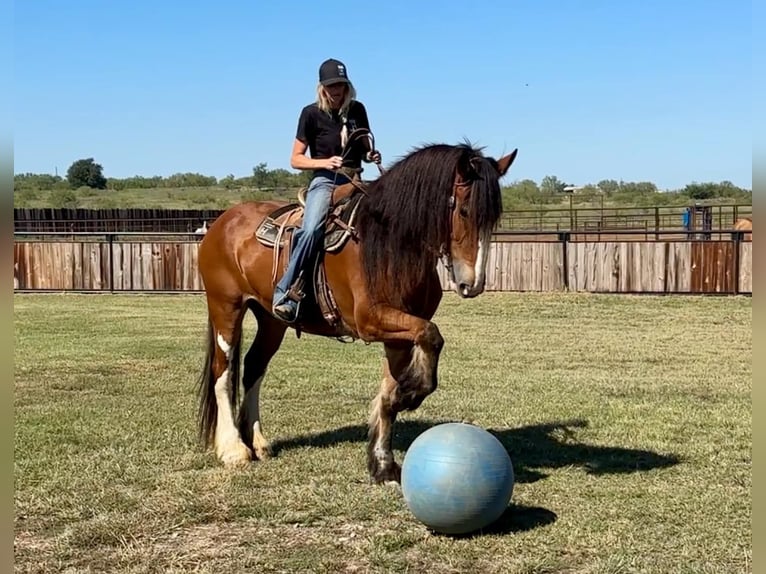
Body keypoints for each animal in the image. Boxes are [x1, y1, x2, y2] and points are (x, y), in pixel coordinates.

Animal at [195, 134, 518, 484]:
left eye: (494, 218)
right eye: (464, 210)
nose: (474, 283)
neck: (388, 244)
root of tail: (222, 222)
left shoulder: (399, 335)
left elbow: (392, 391)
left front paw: (383, 463)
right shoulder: (371, 321)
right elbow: (432, 336)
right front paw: (411, 395)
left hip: (271, 319)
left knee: (254, 366)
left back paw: (258, 442)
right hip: (226, 308)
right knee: (223, 371)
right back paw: (233, 449)